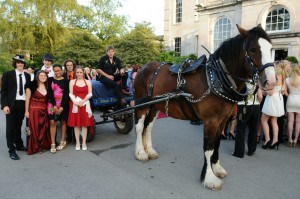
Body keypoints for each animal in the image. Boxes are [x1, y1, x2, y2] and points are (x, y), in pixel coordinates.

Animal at [134, 25, 276, 191]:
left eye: (271, 48)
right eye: (253, 49)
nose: (271, 82)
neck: (216, 79)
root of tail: (143, 67)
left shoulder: (222, 120)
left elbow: (217, 144)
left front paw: (217, 168)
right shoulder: (210, 121)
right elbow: (208, 148)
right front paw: (209, 177)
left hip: (155, 105)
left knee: (148, 126)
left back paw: (149, 150)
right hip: (141, 104)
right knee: (139, 127)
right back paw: (140, 152)